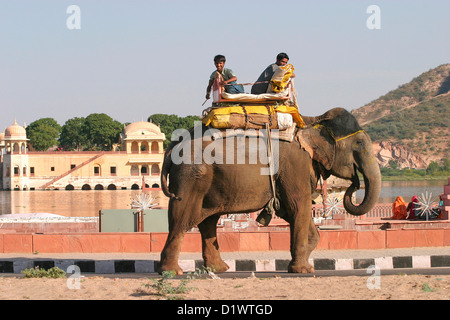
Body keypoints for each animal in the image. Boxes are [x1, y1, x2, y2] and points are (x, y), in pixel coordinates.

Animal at [158, 107, 380, 276]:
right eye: (359, 143)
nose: (354, 184)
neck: (313, 120)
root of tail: (174, 144)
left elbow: (293, 211)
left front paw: (303, 260)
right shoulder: (295, 164)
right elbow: (299, 205)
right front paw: (303, 270)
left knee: (208, 222)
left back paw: (218, 269)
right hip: (191, 178)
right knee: (182, 219)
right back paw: (172, 272)